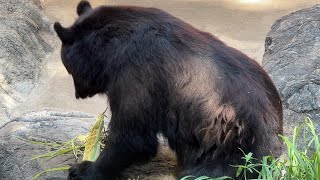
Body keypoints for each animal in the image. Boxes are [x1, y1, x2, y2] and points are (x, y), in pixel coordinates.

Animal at [53, 1, 284, 179]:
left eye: (69, 69)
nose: (79, 94)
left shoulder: (136, 74)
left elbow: (133, 135)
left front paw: (83, 169)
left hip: (226, 149)